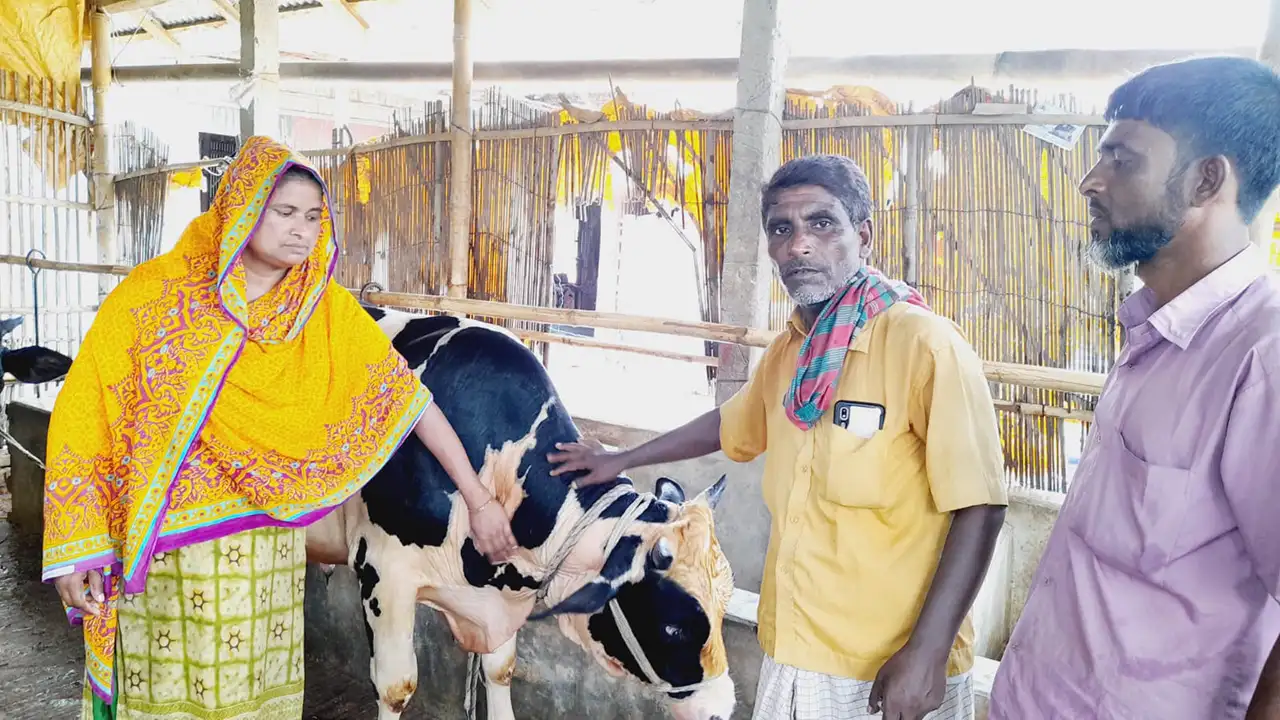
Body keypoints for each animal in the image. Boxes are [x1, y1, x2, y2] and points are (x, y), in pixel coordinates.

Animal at [303, 307, 737, 717]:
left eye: (723, 605)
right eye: (673, 628)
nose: (721, 709)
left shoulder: (502, 592)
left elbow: (500, 669)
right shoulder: (383, 572)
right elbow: (396, 687)